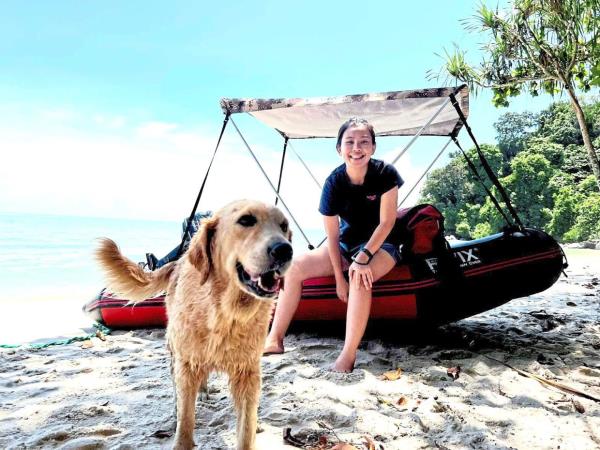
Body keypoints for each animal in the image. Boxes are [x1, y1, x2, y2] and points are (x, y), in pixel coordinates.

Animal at [95, 200, 294, 450]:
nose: (285, 250)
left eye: (284, 226)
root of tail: (177, 261)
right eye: (246, 220)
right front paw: (182, 434)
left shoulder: (247, 371)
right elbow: (186, 418)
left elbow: (246, 425)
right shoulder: (187, 364)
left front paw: (250, 429)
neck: (225, 312)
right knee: (177, 389)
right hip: (176, 350)